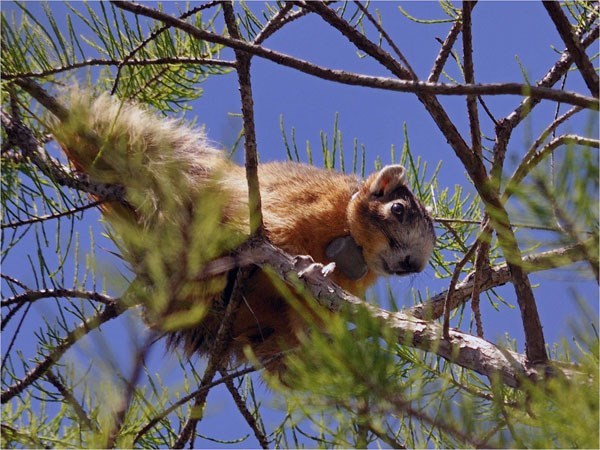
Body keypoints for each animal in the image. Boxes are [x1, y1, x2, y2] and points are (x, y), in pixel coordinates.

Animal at [49, 92, 434, 370]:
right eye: (398, 210)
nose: (413, 264)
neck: (351, 241)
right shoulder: (305, 202)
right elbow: (275, 236)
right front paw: (311, 266)